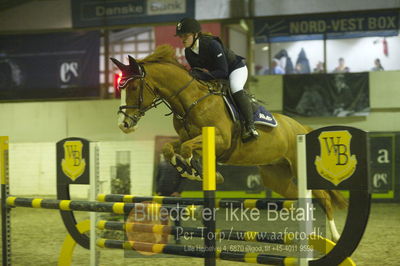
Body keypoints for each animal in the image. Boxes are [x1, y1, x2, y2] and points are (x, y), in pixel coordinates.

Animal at [111, 45, 346, 241]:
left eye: (133, 87)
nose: (124, 124)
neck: (191, 101)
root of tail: (301, 128)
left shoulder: (220, 140)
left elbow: (187, 149)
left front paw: (199, 171)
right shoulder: (187, 138)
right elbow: (171, 148)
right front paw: (189, 169)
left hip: (298, 166)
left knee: (324, 197)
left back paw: (333, 235)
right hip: (275, 176)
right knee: (299, 196)